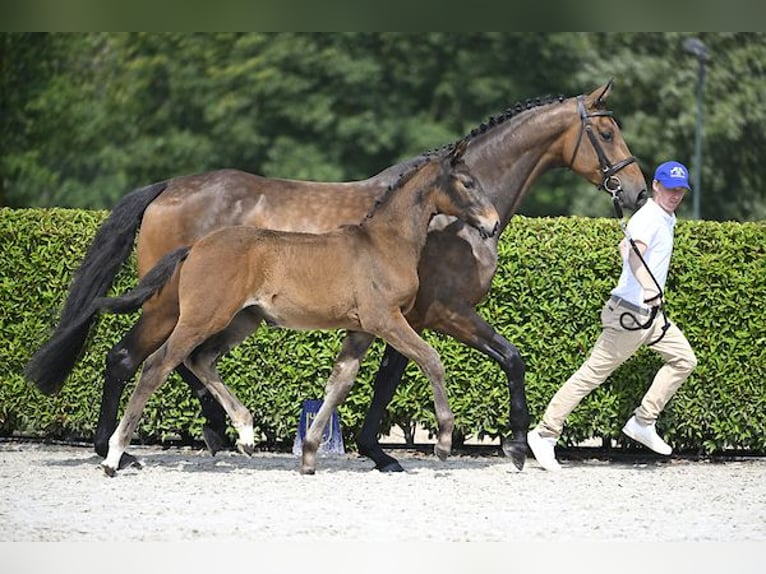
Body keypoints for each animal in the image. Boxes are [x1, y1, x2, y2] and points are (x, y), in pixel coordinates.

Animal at [93, 143, 500, 476]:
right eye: (467, 183)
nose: (493, 223)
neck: (384, 243)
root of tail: (195, 247)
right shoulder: (385, 319)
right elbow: (431, 359)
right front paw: (444, 442)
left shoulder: (361, 330)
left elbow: (339, 382)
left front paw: (308, 456)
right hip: (201, 317)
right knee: (156, 366)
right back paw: (115, 456)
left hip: (242, 321)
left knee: (200, 360)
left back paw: (245, 435)